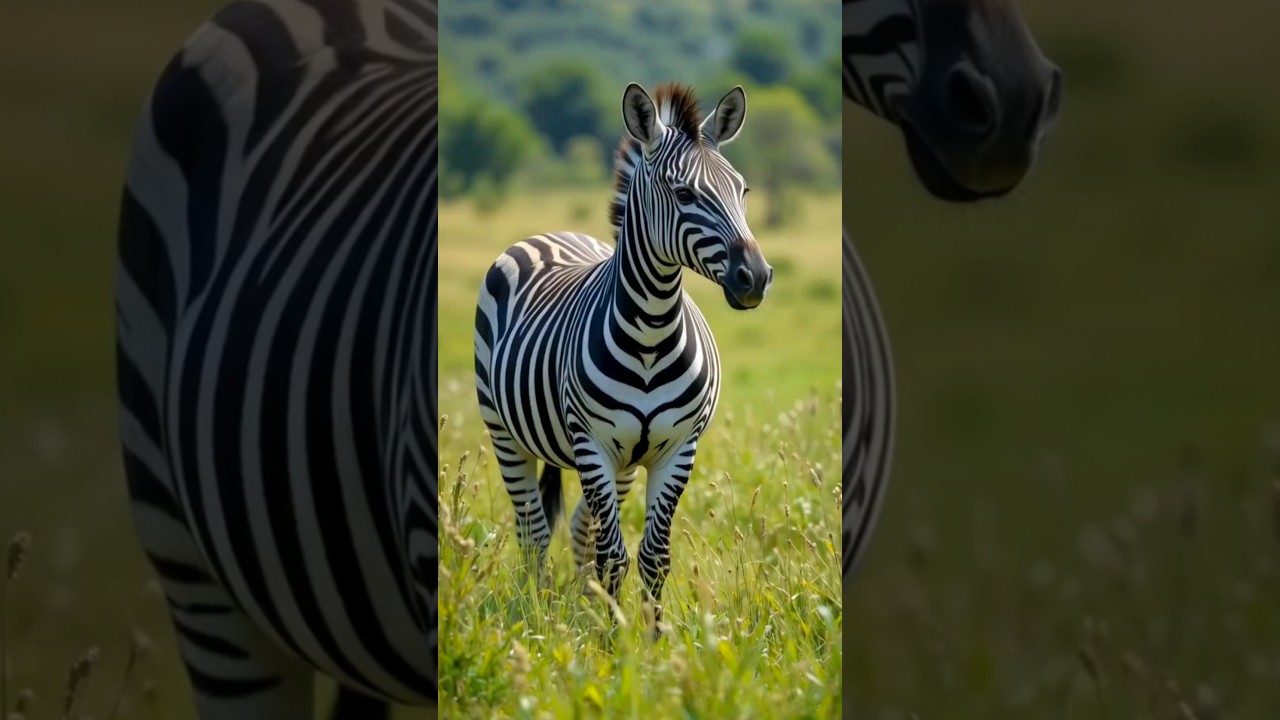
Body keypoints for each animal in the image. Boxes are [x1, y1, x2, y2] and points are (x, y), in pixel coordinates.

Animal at [474, 82, 772, 628]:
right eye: (684, 194)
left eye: (742, 191)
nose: (756, 278)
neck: (652, 332)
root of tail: (556, 234)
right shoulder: (590, 442)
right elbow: (614, 555)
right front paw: (611, 641)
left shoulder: (678, 449)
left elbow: (653, 556)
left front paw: (647, 639)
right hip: (505, 432)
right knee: (533, 531)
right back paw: (534, 606)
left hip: (624, 462)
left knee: (579, 529)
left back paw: (580, 606)